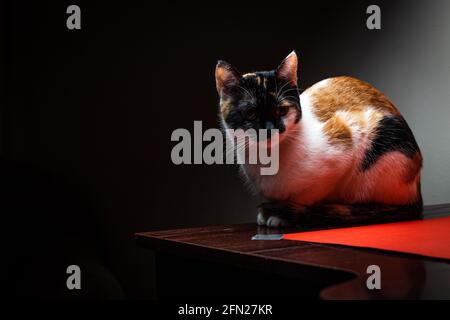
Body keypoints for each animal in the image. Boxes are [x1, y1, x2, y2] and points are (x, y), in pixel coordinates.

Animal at [214, 51, 422, 228]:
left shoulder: (346, 138)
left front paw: (283, 214)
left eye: (282, 110)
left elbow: (306, 196)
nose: (270, 129)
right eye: (251, 112)